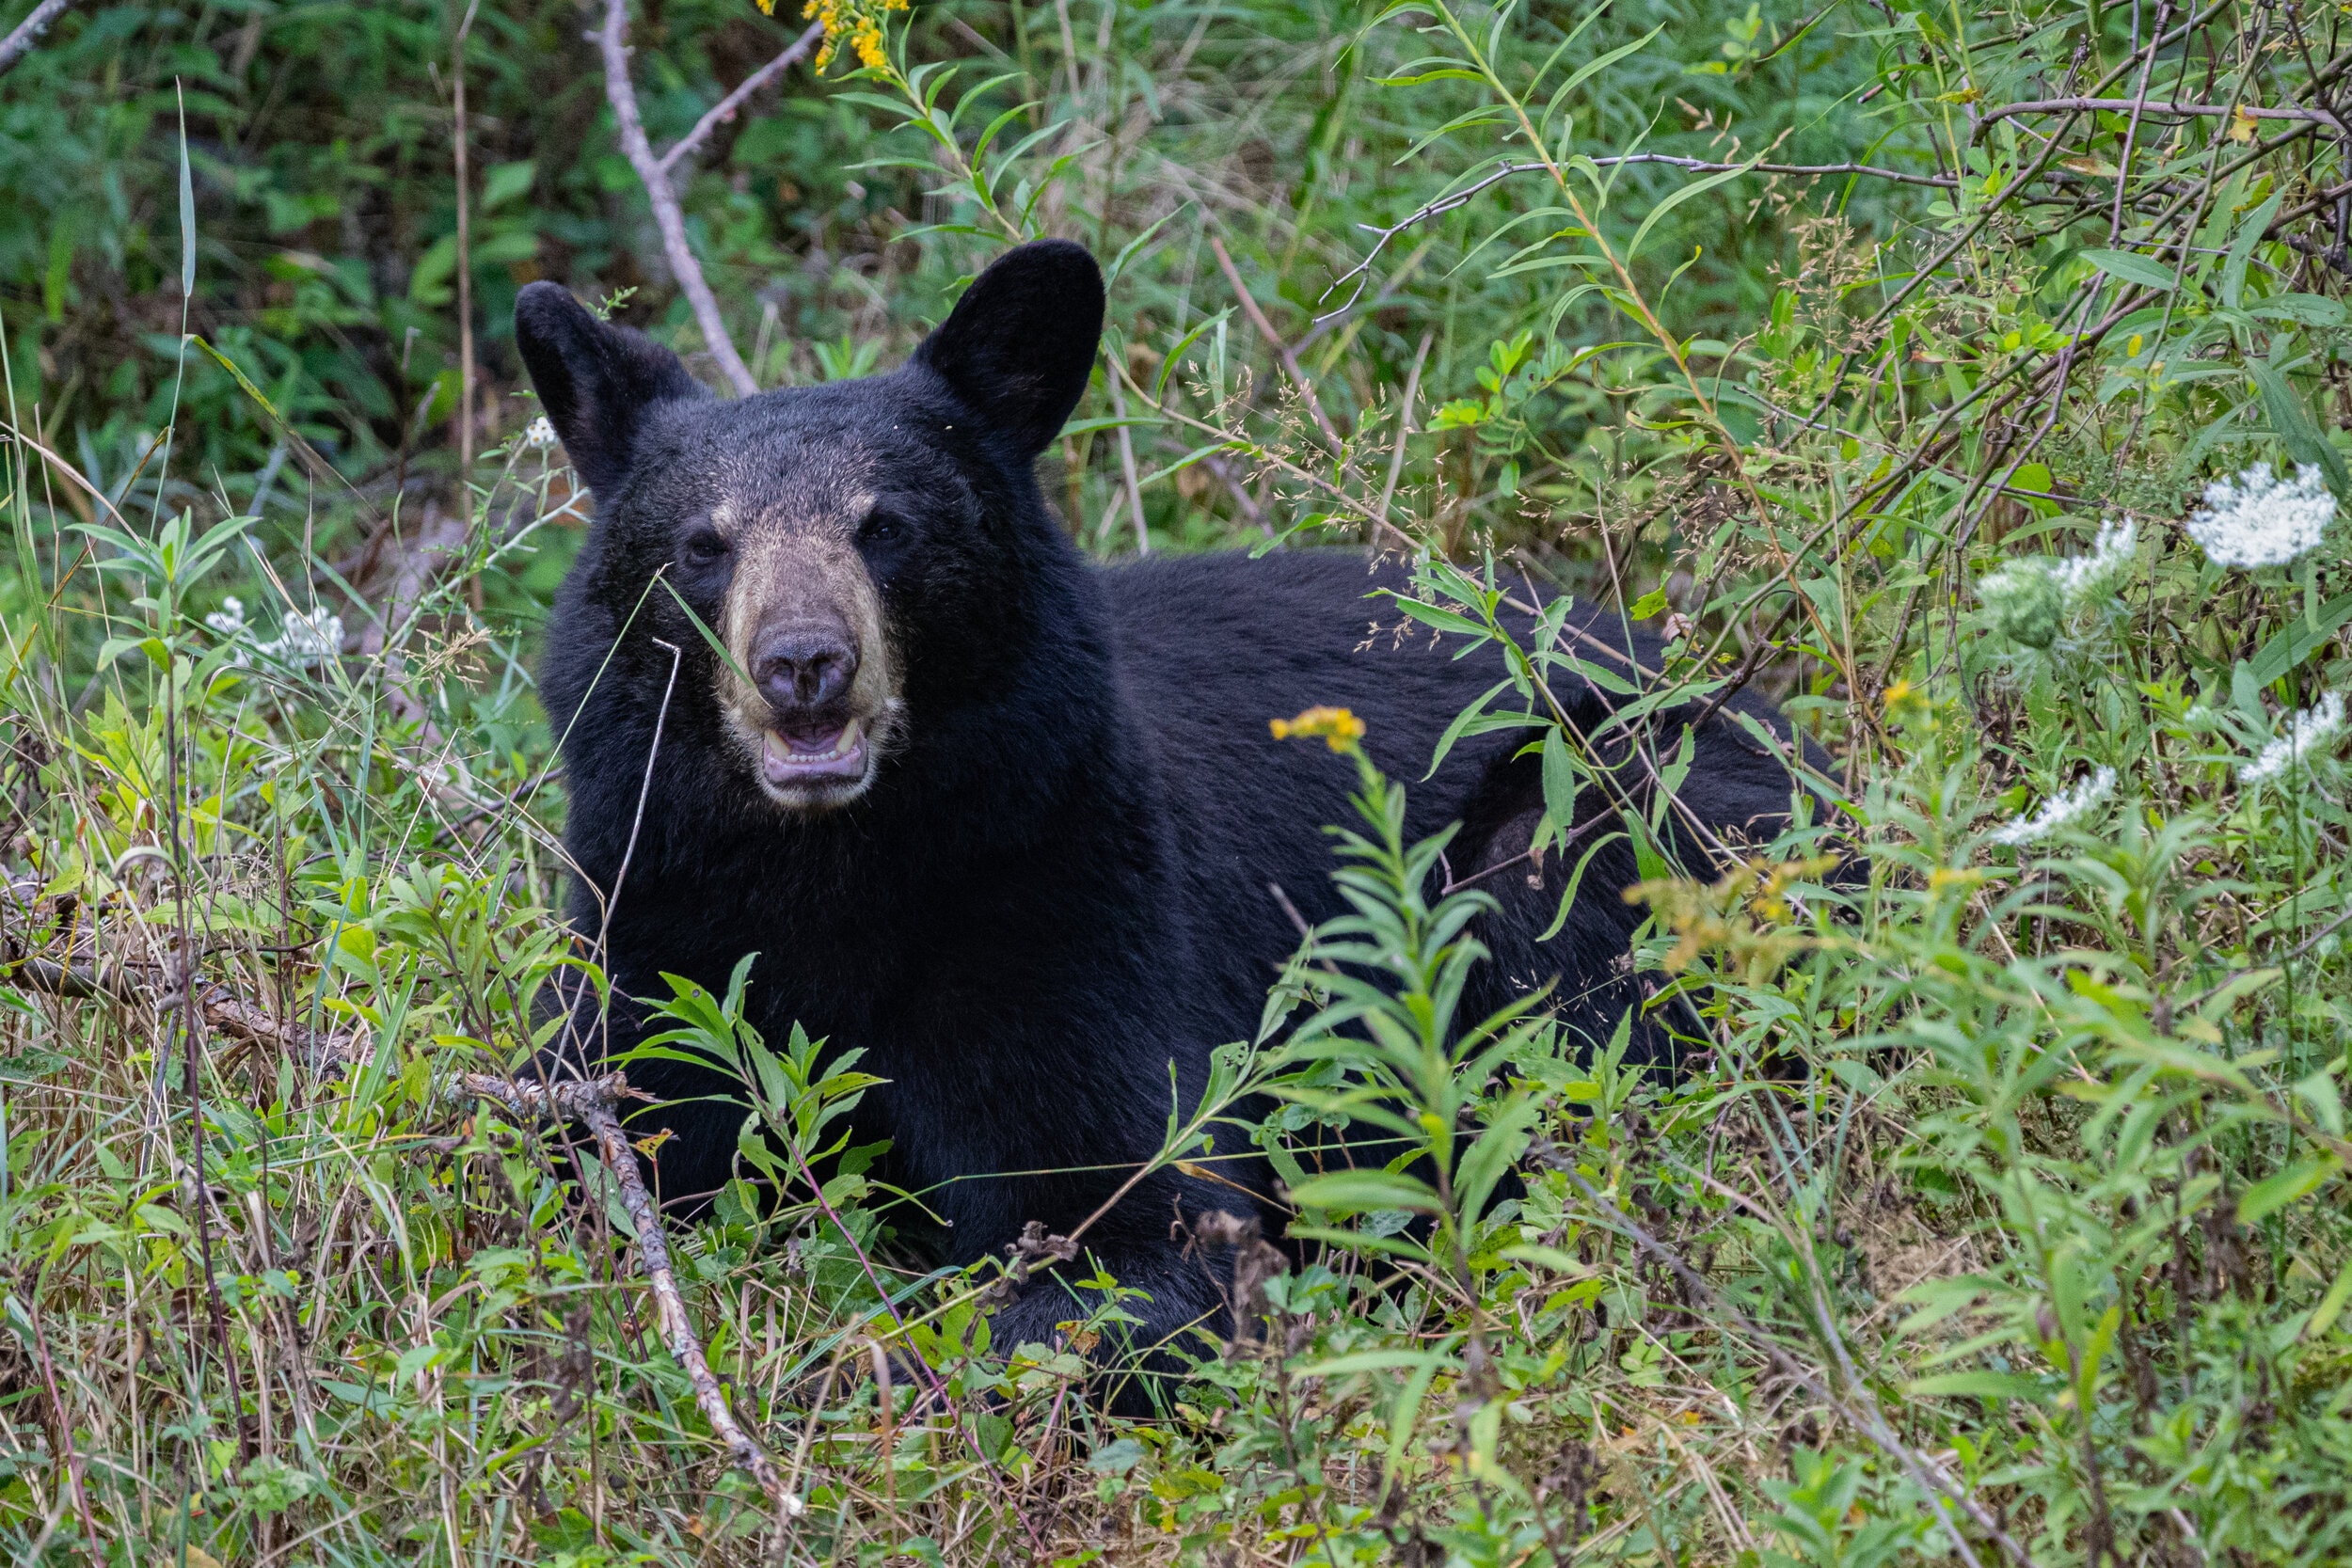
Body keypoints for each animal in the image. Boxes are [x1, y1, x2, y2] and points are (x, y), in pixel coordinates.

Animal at [513, 240, 1810, 1406]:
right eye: (704, 542)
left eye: (885, 525)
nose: (802, 665)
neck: (829, 868)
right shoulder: (653, 919)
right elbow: (583, 1153)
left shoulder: (1066, 888)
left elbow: (1143, 1231)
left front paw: (870, 1365)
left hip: (1613, 813)